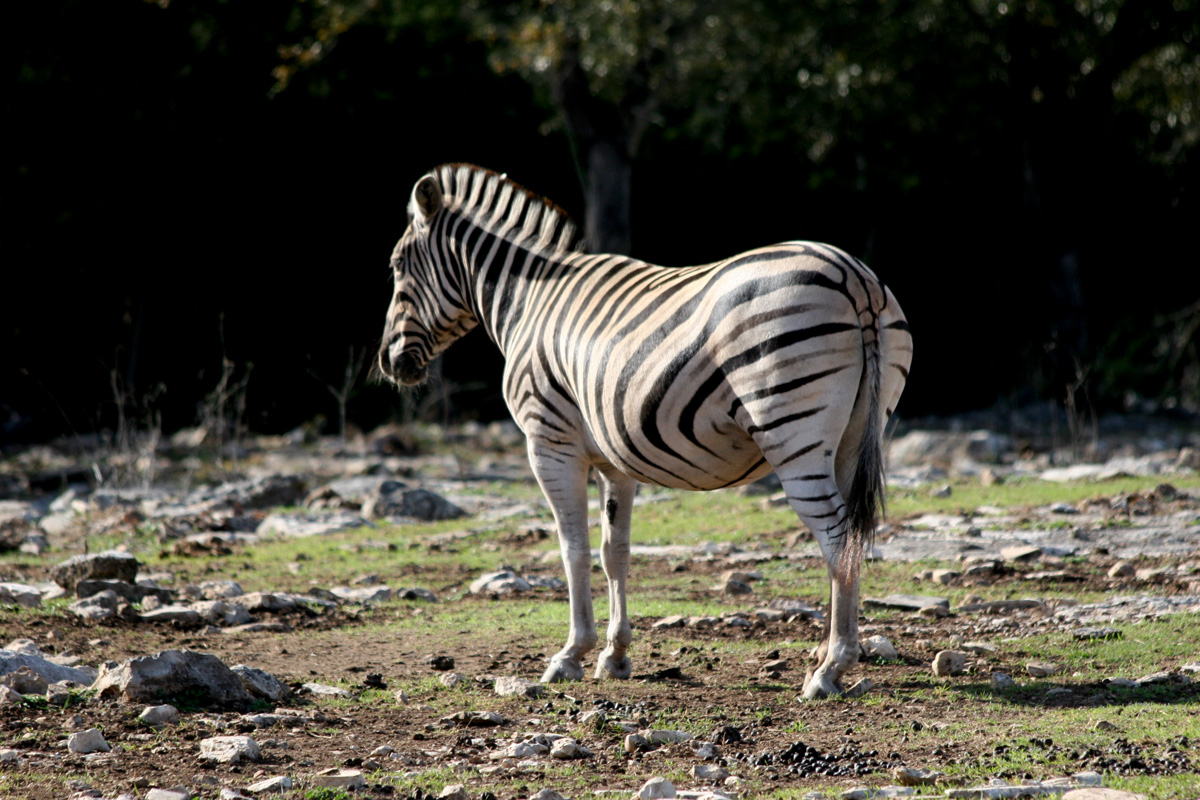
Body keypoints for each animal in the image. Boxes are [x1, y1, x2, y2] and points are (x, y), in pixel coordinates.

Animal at [379, 164, 912, 700]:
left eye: (398, 265)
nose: (388, 362)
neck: (529, 299)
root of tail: (853, 277)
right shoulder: (614, 461)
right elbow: (613, 552)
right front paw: (613, 655)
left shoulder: (549, 442)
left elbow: (573, 549)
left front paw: (570, 654)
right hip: (854, 435)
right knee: (848, 539)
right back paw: (822, 656)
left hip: (791, 431)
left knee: (837, 537)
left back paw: (832, 668)